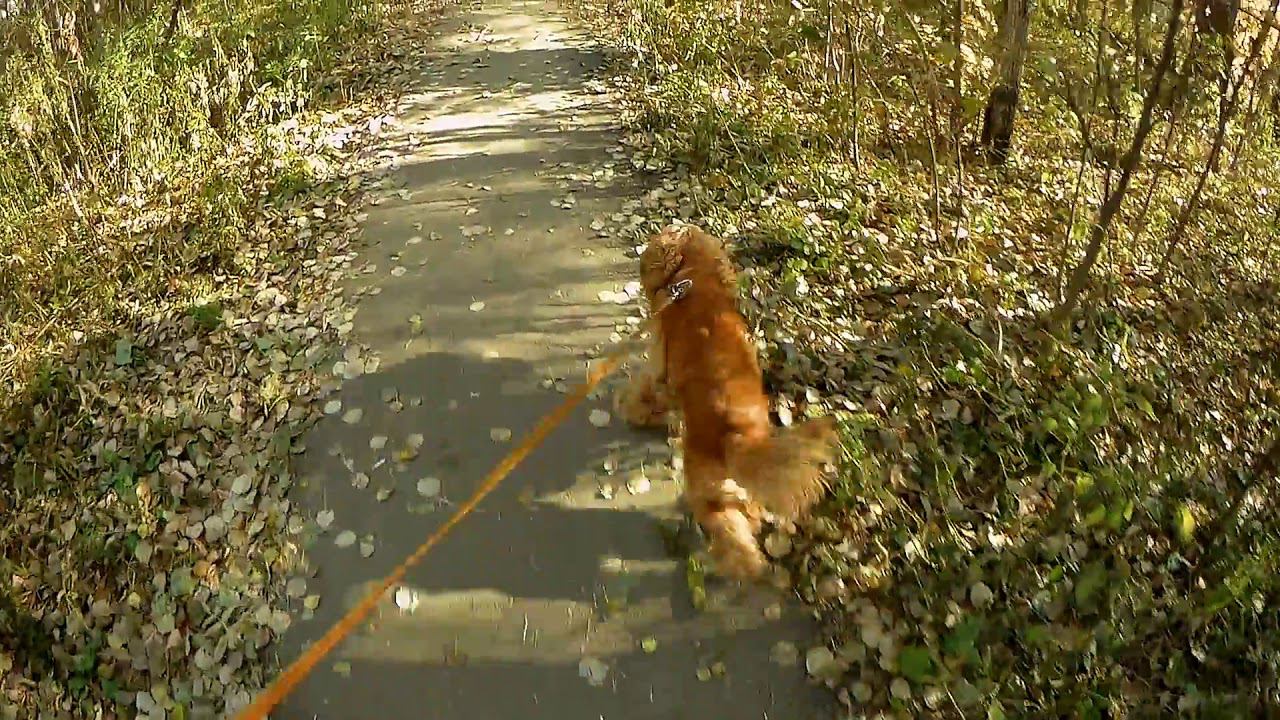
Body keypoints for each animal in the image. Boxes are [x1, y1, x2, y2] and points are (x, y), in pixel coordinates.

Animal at [616, 224, 839, 579]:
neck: (695, 279)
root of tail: (736, 433)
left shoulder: (660, 363)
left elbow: (646, 390)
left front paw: (635, 410)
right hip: (741, 490)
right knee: (748, 517)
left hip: (707, 488)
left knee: (727, 531)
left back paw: (736, 566)